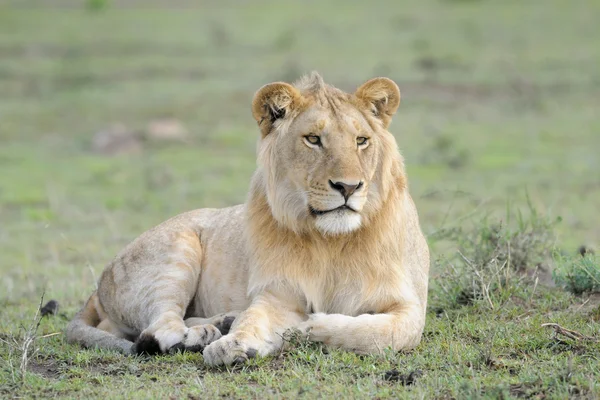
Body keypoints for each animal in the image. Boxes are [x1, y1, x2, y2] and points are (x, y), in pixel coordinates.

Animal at [65, 72, 428, 366]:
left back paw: (220, 323)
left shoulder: (410, 307)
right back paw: (202, 336)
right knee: (157, 328)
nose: (348, 187)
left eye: (361, 140)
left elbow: (378, 333)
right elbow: (254, 318)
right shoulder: (277, 293)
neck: (331, 241)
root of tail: (98, 287)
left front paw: (310, 326)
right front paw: (234, 344)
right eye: (313, 139)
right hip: (176, 252)